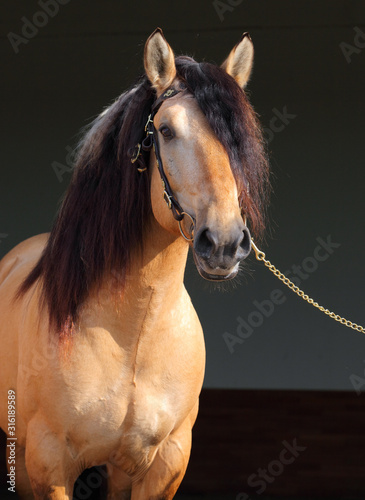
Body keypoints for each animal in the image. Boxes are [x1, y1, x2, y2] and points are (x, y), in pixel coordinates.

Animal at [0, 28, 268, 500]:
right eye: (165, 130)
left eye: (239, 139)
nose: (223, 242)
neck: (133, 336)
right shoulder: (49, 465)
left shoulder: (164, 464)